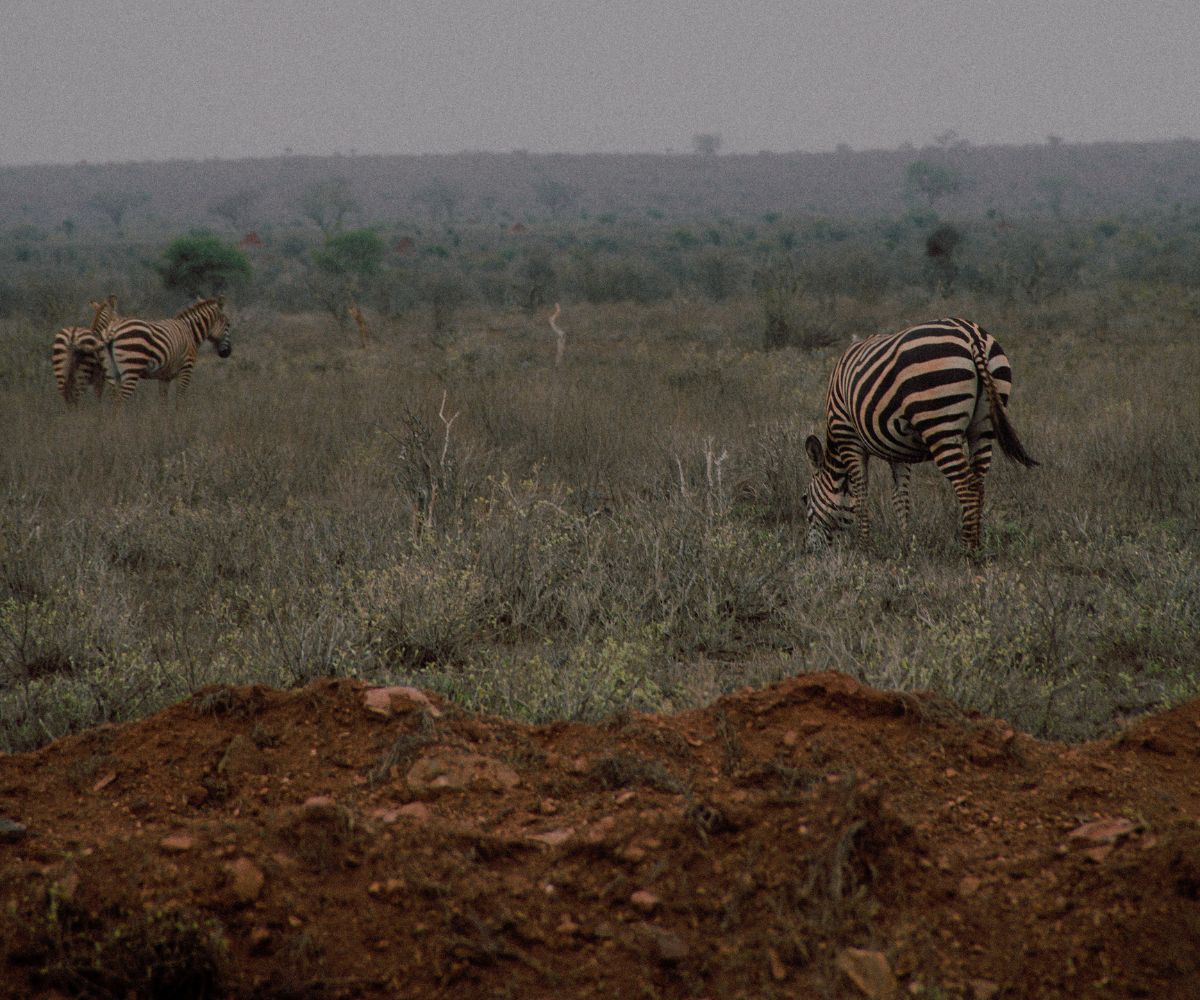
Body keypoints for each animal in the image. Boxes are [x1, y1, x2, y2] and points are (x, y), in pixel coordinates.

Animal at [102, 294, 231, 403]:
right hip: (131, 367)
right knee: (120, 400)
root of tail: (113, 329)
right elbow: (180, 399)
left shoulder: (165, 377)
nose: (227, 353)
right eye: (228, 324)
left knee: (113, 398)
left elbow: (163, 402)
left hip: (111, 371)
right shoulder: (186, 369)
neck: (190, 332)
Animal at [801, 316, 1036, 549]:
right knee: (978, 483)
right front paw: (906, 545)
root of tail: (972, 335)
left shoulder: (849, 438)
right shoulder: (896, 449)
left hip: (939, 422)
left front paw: (863, 546)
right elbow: (900, 497)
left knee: (967, 487)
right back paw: (977, 544)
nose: (810, 550)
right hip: (983, 425)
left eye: (804, 499)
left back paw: (967, 549)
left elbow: (860, 495)